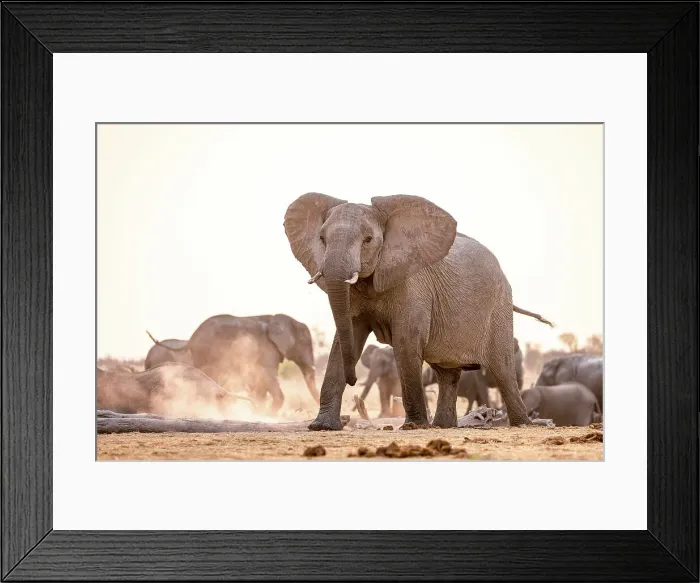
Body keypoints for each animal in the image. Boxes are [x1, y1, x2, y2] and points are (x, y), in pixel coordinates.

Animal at [147, 313, 319, 415]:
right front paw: (267, 415)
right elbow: (267, 375)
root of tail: (190, 339)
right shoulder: (268, 348)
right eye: (305, 343)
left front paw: (259, 412)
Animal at [283, 192, 553, 430]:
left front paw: (413, 426)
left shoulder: (413, 285)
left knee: (502, 369)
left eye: (368, 240)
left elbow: (405, 341)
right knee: (447, 373)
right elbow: (343, 340)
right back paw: (444, 426)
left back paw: (523, 424)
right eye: (321, 238)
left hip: (498, 306)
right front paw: (321, 427)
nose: (354, 380)